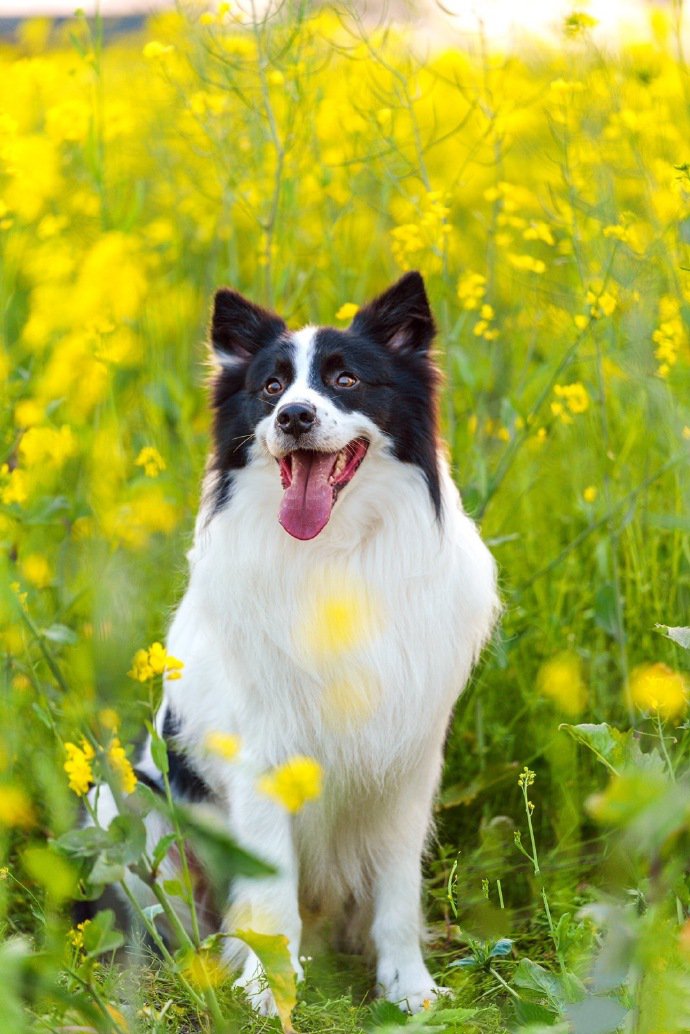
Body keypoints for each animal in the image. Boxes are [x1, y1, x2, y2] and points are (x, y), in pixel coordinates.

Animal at [94, 268, 498, 1017]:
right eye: (272, 387)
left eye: (345, 380)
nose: (294, 419)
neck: (332, 555)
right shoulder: (263, 756)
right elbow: (270, 891)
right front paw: (267, 992)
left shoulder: (408, 765)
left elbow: (397, 894)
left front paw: (408, 988)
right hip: (127, 804)